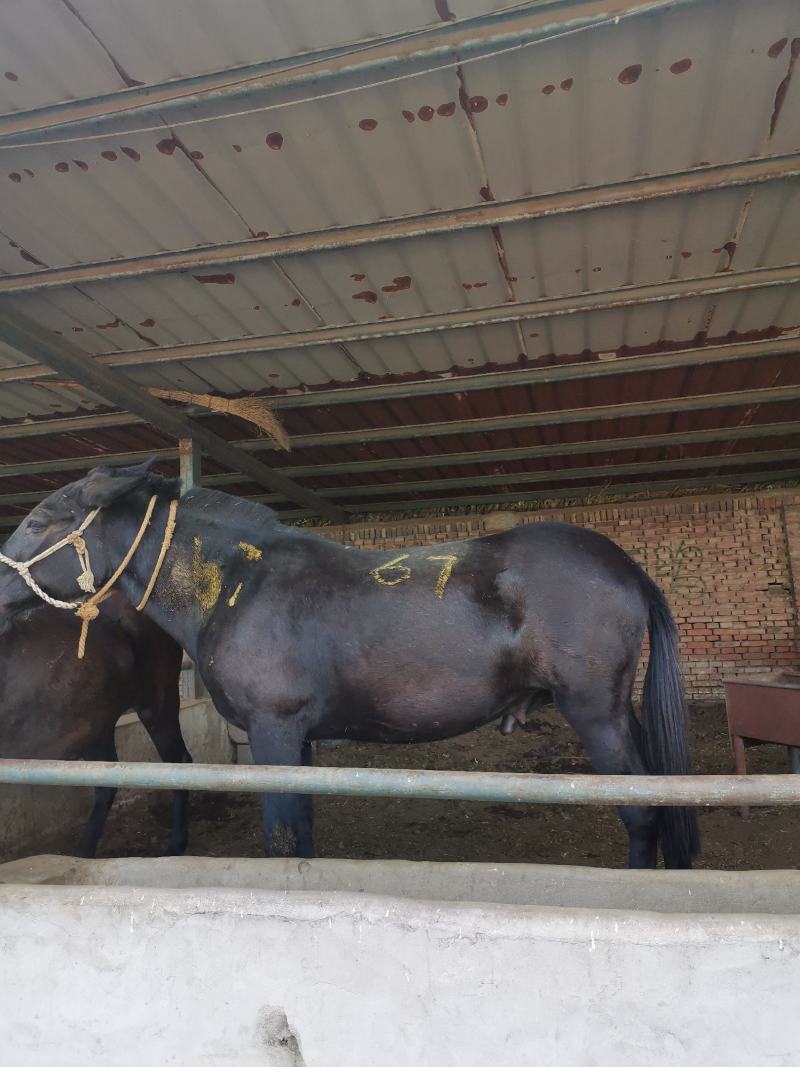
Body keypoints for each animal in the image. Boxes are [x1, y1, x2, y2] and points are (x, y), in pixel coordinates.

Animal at [0, 593, 190, 858]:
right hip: (98, 726)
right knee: (105, 783)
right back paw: (83, 853)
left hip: (157, 704)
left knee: (179, 764)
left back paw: (175, 846)